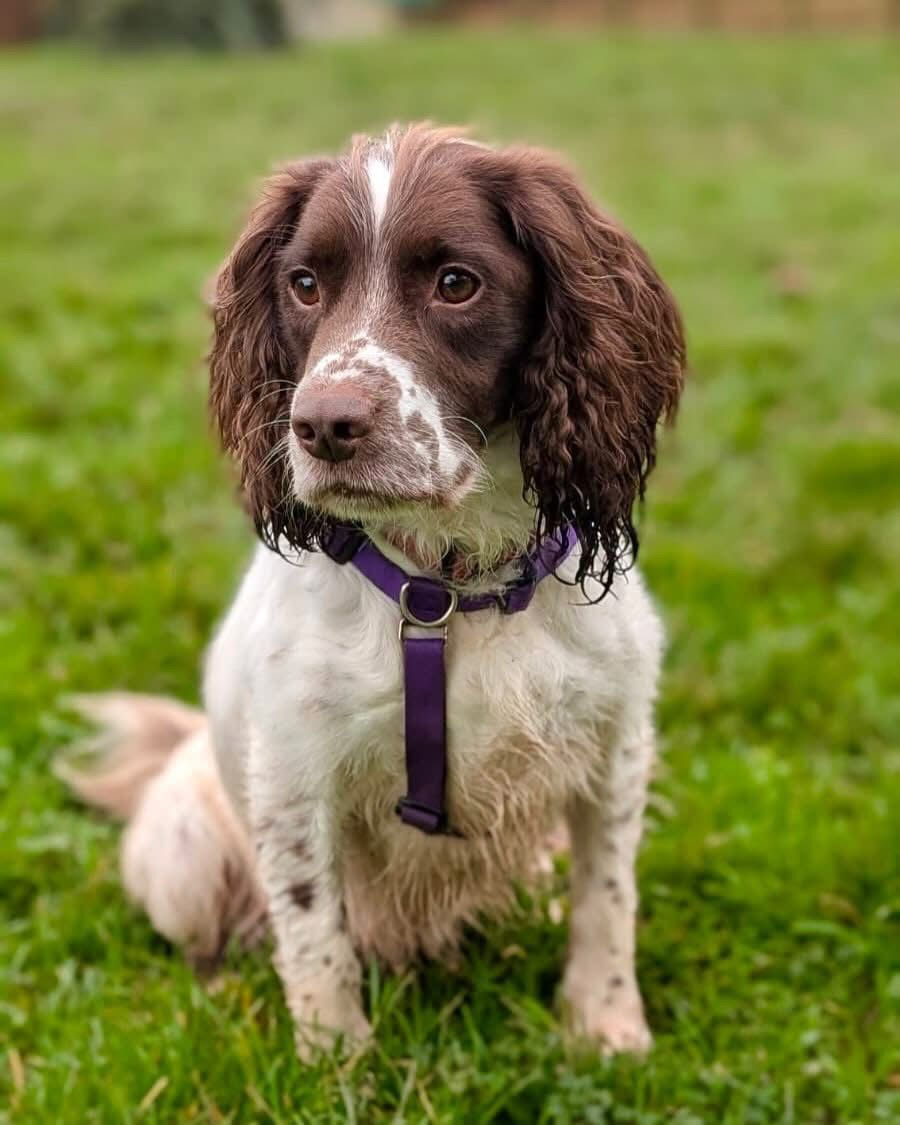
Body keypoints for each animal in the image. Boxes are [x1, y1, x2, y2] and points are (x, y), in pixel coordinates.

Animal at [61, 125, 684, 1062]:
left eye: (456, 282)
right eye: (304, 283)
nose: (321, 425)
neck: (449, 588)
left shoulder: (615, 746)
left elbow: (607, 900)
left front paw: (606, 1026)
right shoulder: (293, 774)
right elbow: (314, 938)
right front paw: (335, 1065)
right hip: (187, 850)